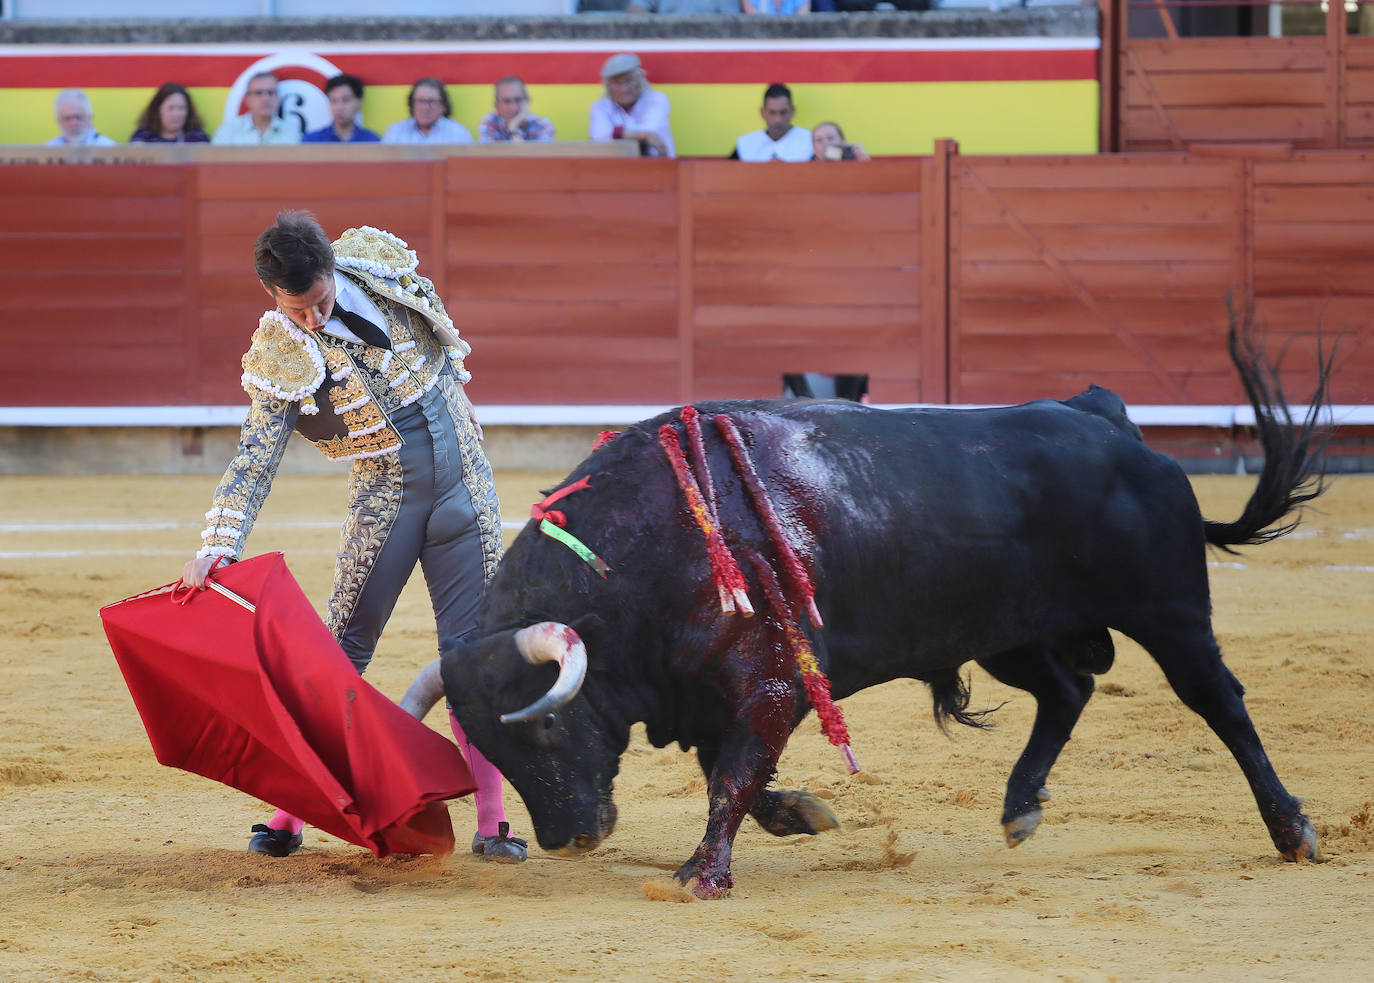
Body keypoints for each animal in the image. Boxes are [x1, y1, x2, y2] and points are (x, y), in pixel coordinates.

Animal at [401, 324, 1324, 901]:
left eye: (548, 725)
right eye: (486, 744)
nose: (569, 838)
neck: (641, 550)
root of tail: (1106, 419)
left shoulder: (770, 682)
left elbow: (734, 773)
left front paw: (704, 874)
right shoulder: (707, 691)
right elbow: (732, 772)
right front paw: (797, 816)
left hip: (1169, 612)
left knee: (1219, 702)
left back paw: (1292, 830)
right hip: (1004, 630)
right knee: (1067, 691)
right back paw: (1020, 806)